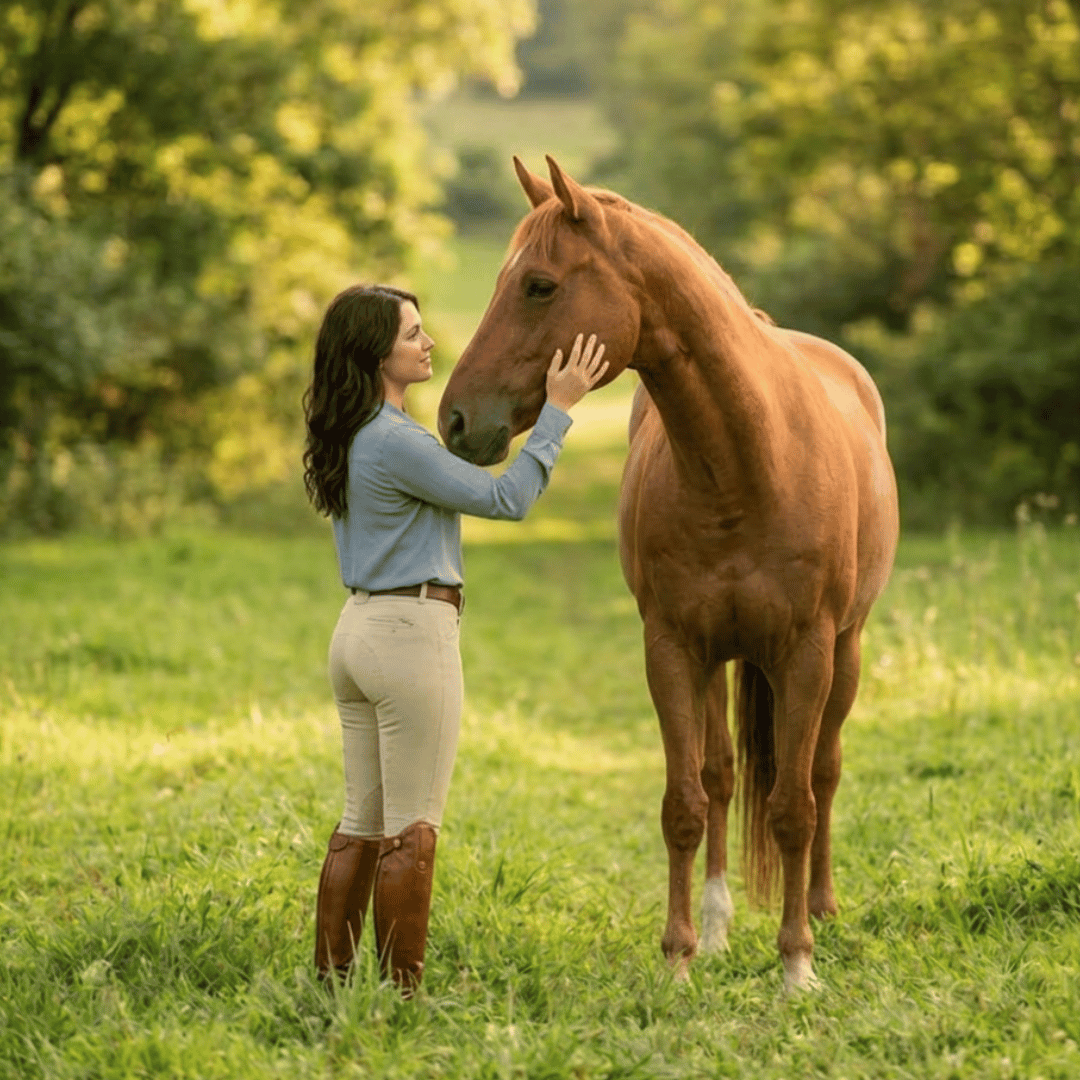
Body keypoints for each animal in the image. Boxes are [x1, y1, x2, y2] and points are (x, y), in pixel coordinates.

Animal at [437, 156, 899, 992]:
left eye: (540, 286)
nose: (454, 421)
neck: (750, 463)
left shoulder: (807, 652)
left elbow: (793, 807)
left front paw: (796, 965)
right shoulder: (673, 648)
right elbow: (684, 802)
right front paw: (680, 955)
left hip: (845, 650)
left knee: (823, 772)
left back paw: (819, 908)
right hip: (720, 658)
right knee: (720, 777)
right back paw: (718, 928)